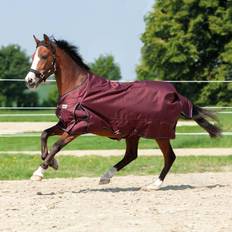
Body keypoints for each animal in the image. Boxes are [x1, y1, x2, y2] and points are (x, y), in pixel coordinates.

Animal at [24, 34, 221, 190]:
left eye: (44, 55)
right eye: (33, 56)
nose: (30, 80)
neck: (78, 88)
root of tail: (175, 94)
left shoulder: (78, 127)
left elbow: (56, 146)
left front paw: (39, 172)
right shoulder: (65, 124)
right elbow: (44, 134)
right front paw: (53, 163)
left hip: (159, 133)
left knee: (169, 157)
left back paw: (153, 185)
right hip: (133, 133)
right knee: (131, 155)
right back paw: (106, 176)